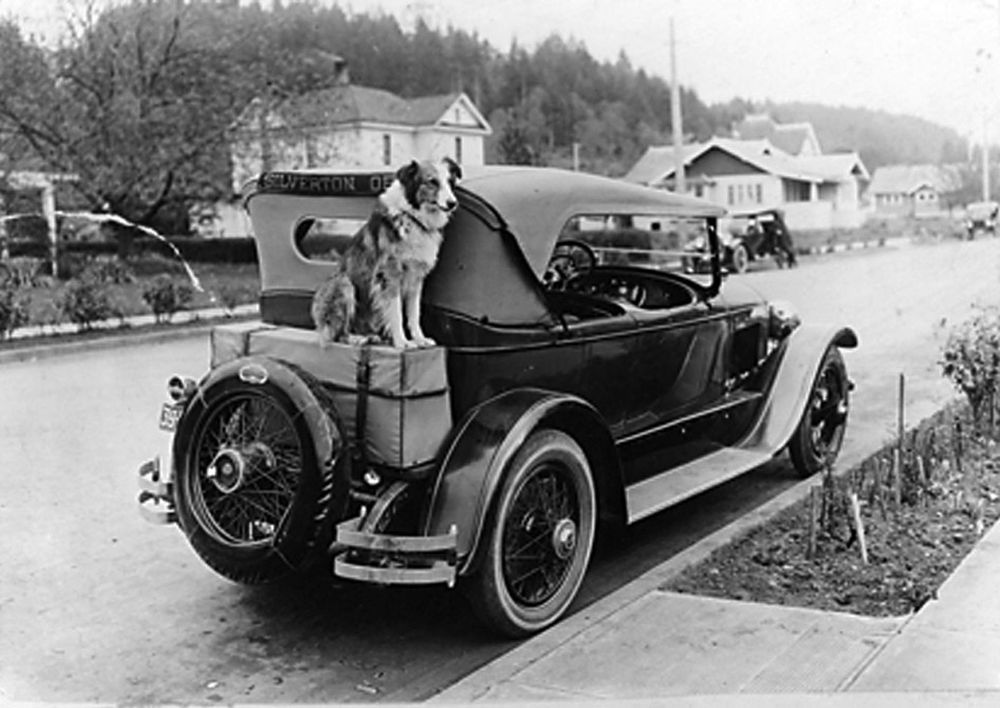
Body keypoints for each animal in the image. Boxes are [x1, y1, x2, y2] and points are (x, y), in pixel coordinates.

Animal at [310, 159, 462, 350]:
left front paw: (420, 339)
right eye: (432, 182)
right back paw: (355, 338)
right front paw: (402, 342)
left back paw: (370, 336)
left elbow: (414, 314)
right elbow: (396, 313)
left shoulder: (416, 277)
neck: (413, 217)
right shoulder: (390, 275)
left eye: (450, 182)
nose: (452, 203)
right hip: (343, 284)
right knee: (337, 334)